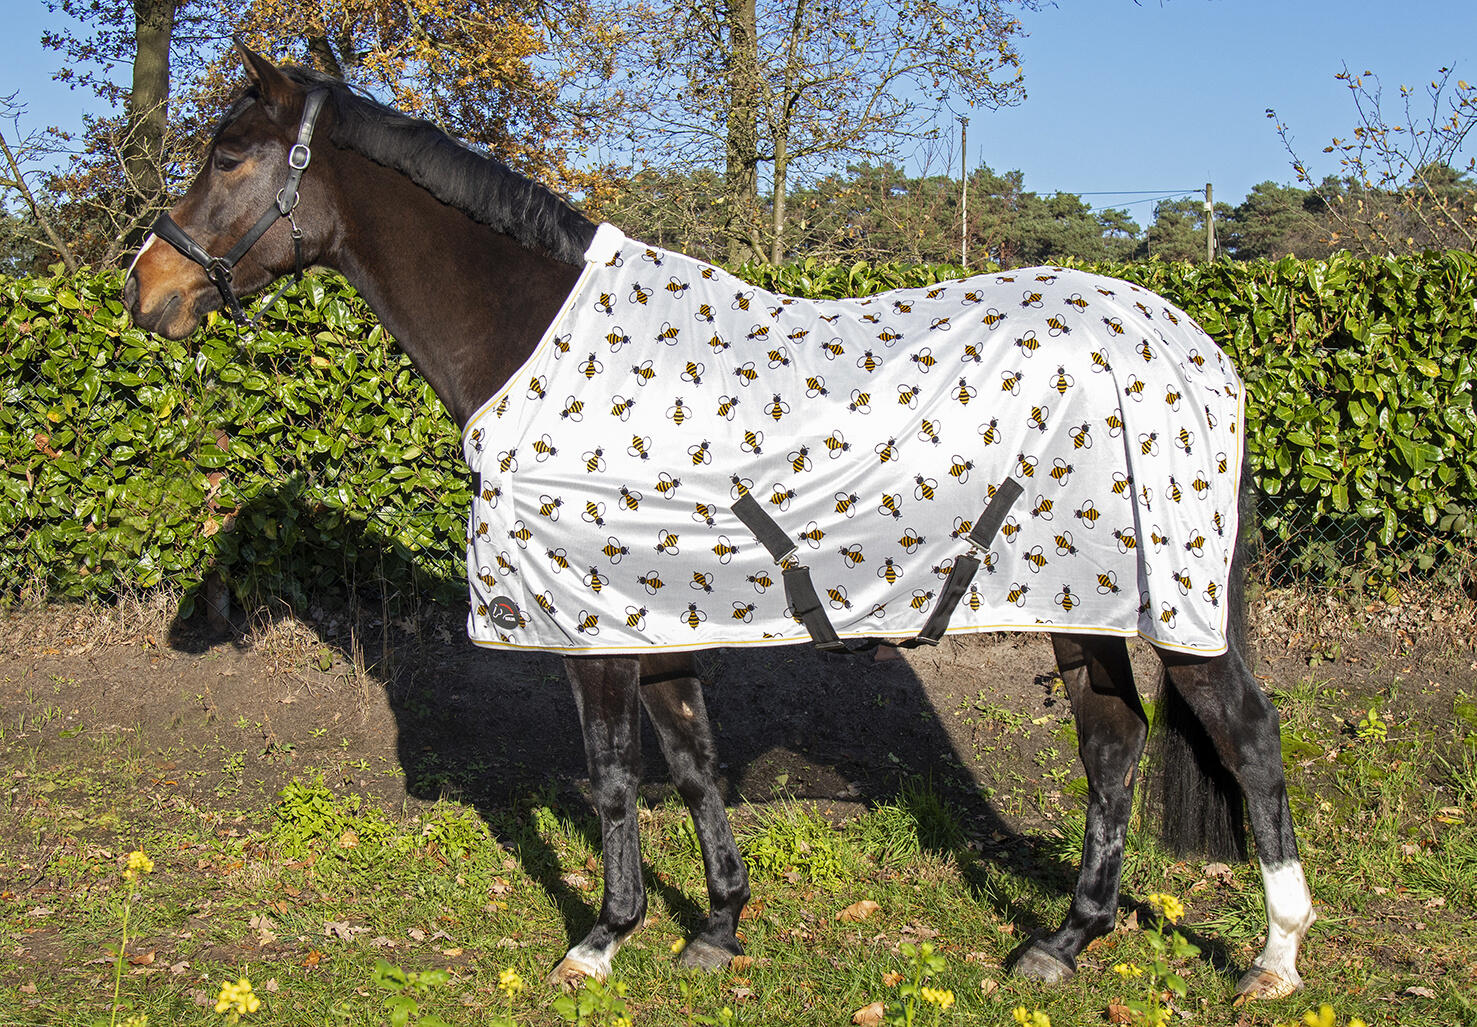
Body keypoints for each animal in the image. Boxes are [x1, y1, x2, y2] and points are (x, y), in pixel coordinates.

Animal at [125, 42, 1314, 1001]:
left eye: (229, 155)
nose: (147, 291)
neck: (535, 339)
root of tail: (1195, 346)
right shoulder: (651, 618)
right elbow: (691, 760)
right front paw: (719, 928)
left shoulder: (587, 628)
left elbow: (613, 777)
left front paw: (600, 941)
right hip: (1086, 602)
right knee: (1113, 744)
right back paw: (1061, 943)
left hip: (1173, 608)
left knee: (1248, 740)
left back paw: (1274, 958)